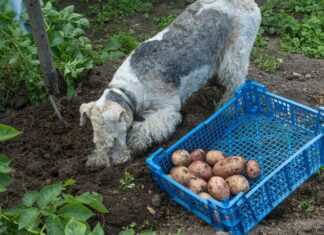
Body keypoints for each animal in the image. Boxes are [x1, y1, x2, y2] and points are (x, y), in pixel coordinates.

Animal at [79, 0, 262, 167]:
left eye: (114, 139)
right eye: (96, 141)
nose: (106, 164)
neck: (127, 89)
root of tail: (248, 2)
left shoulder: (169, 108)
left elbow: (146, 127)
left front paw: (136, 142)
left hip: (236, 55)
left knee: (236, 84)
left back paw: (227, 108)